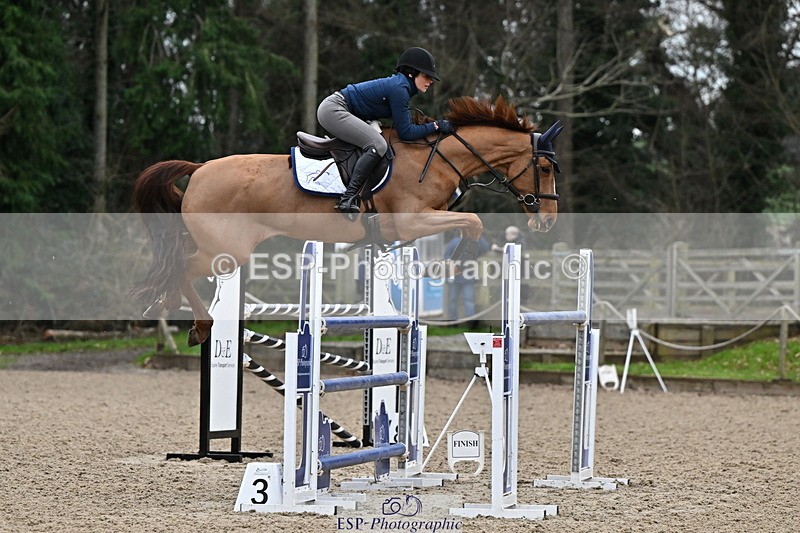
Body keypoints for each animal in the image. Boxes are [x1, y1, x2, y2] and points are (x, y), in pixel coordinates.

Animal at [131, 96, 563, 346]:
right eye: (544, 167)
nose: (547, 221)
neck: (439, 158)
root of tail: (199, 169)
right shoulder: (411, 221)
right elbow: (472, 222)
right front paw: (453, 263)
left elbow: (467, 221)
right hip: (226, 251)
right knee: (180, 268)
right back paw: (198, 324)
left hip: (218, 248)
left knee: (175, 268)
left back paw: (168, 306)